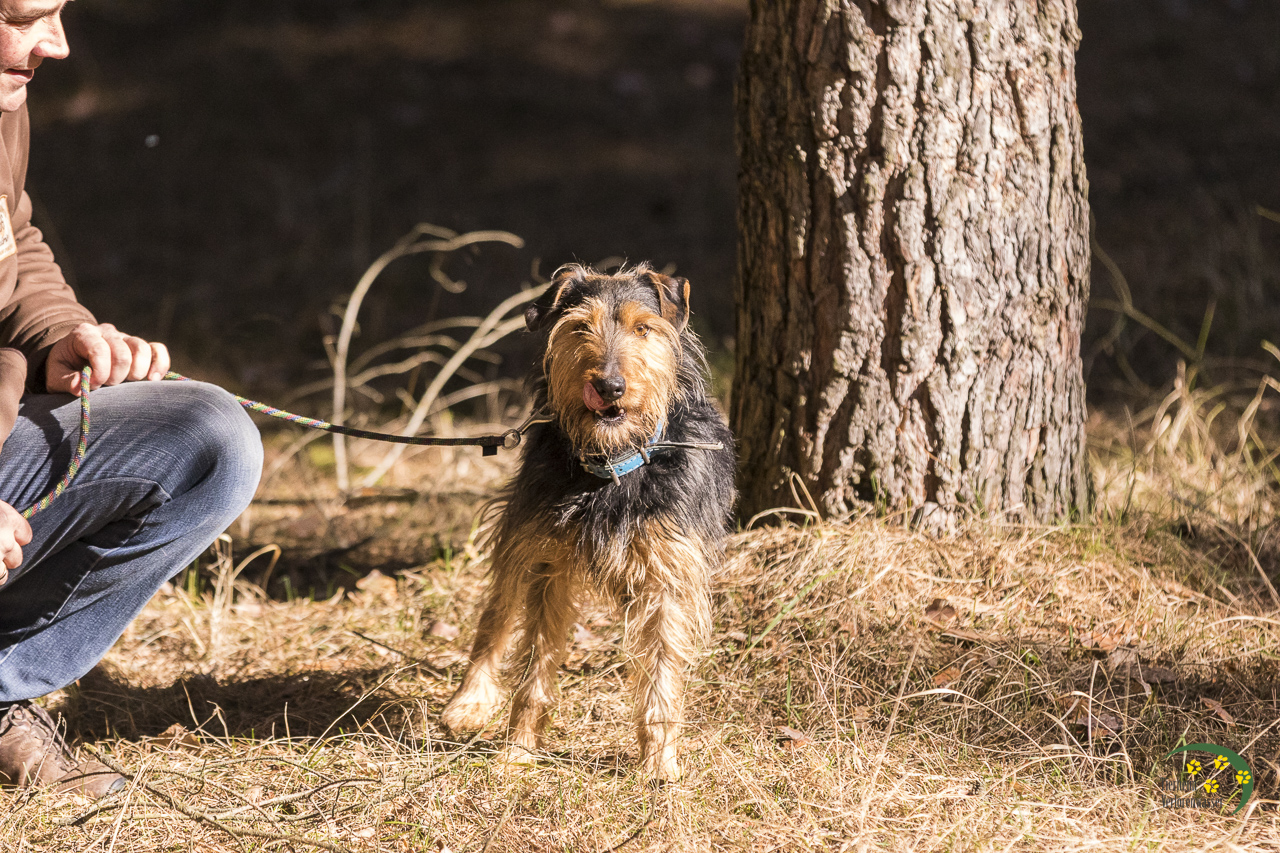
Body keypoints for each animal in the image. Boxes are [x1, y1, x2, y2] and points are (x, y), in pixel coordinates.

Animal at [440, 263, 735, 781]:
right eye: (580, 328)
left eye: (643, 329)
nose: (610, 387)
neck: (613, 466)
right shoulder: (548, 564)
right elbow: (533, 671)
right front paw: (517, 752)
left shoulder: (668, 577)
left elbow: (661, 679)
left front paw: (659, 764)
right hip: (521, 530)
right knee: (495, 616)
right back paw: (469, 702)